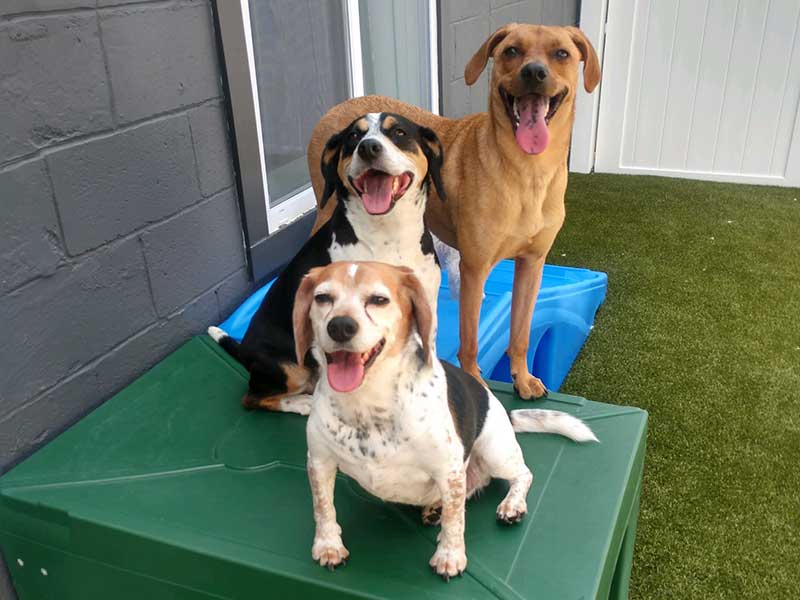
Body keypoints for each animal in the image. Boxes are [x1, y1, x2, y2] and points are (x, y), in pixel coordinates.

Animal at [208, 111, 444, 412]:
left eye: (399, 132)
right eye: (353, 136)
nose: (368, 148)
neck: (389, 236)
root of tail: (245, 350)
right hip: (289, 367)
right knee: (252, 398)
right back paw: (302, 403)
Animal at [306, 23, 600, 400]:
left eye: (561, 53)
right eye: (512, 51)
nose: (534, 72)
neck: (526, 172)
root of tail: (336, 107)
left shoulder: (532, 265)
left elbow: (520, 332)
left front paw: (522, 377)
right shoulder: (474, 268)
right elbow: (470, 339)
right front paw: (476, 380)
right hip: (326, 210)